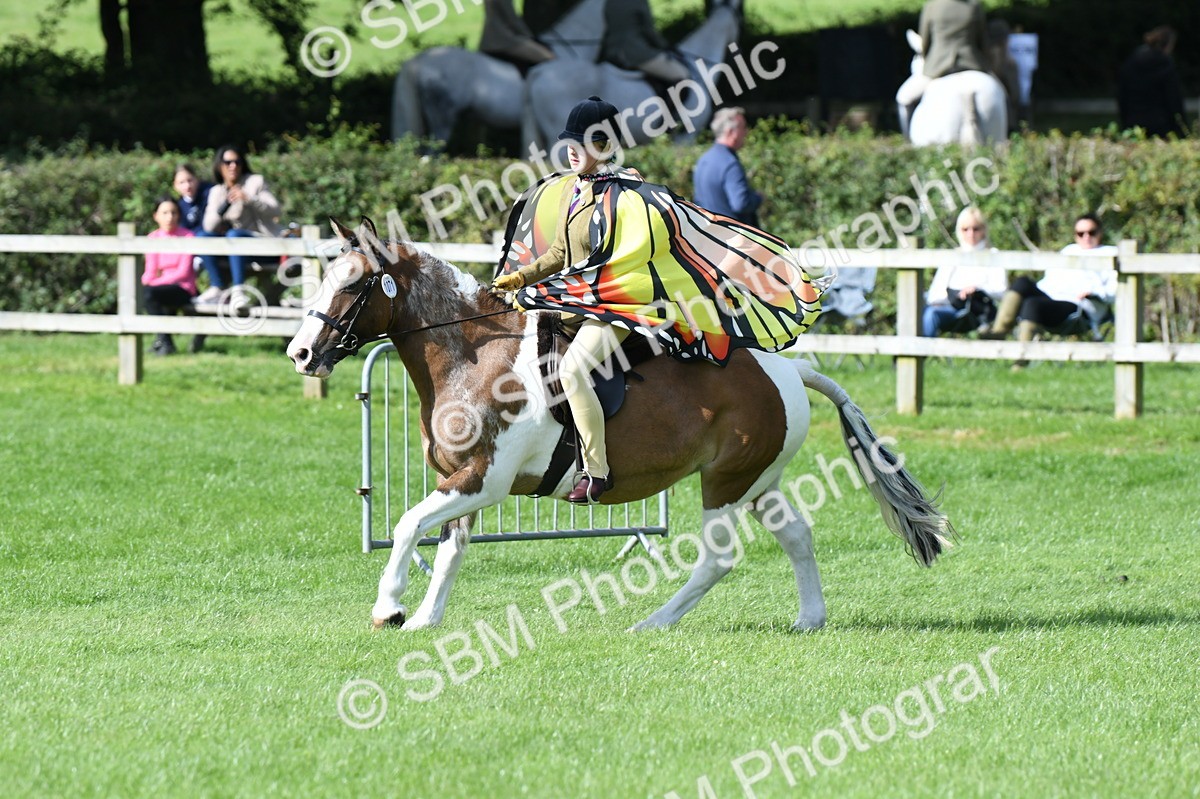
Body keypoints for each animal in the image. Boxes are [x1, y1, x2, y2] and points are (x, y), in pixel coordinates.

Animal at [286, 218, 955, 632]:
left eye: (352, 283)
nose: (300, 353)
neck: (474, 354)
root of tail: (789, 369)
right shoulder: (463, 484)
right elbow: (448, 550)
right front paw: (425, 619)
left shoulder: (482, 480)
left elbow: (405, 525)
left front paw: (389, 610)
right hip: (757, 481)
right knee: (796, 536)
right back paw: (809, 619)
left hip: (725, 483)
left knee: (718, 559)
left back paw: (653, 622)